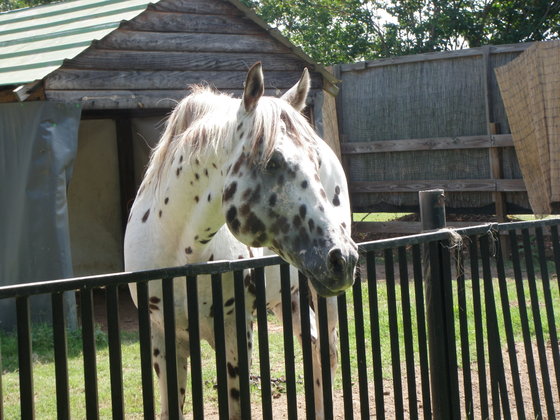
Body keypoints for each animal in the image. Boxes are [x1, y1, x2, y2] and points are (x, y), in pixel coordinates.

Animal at [124, 62, 358, 419]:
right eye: (273, 161)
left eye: (315, 163)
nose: (342, 258)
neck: (182, 254)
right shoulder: (162, 337)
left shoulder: (235, 333)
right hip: (287, 297)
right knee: (313, 346)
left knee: (326, 354)